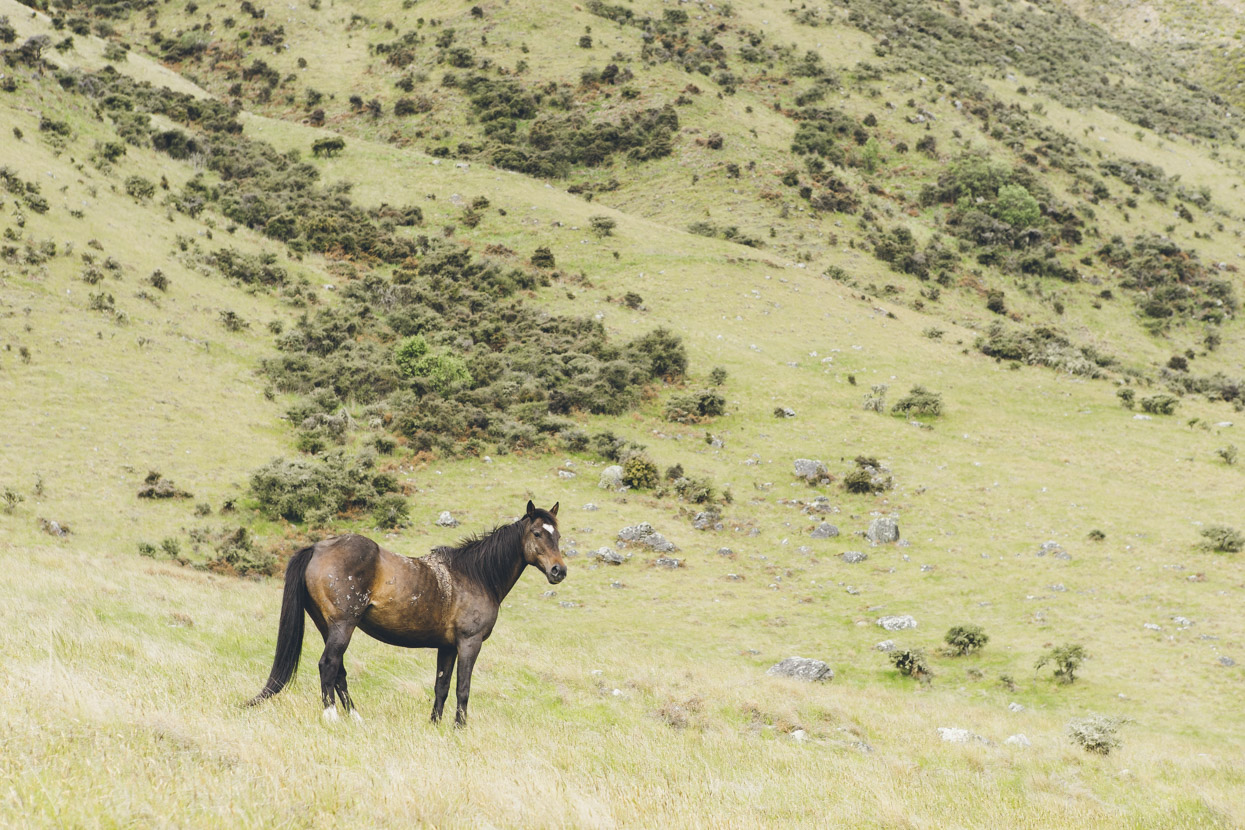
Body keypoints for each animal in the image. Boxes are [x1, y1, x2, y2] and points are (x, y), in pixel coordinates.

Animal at [246, 500, 565, 726]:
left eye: (558, 536)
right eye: (537, 533)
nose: (558, 571)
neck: (476, 575)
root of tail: (317, 548)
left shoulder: (447, 647)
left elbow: (441, 687)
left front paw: (435, 725)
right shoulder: (468, 643)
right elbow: (462, 688)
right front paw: (459, 728)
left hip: (328, 627)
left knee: (339, 672)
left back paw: (356, 719)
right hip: (342, 626)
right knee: (328, 666)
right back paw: (332, 717)